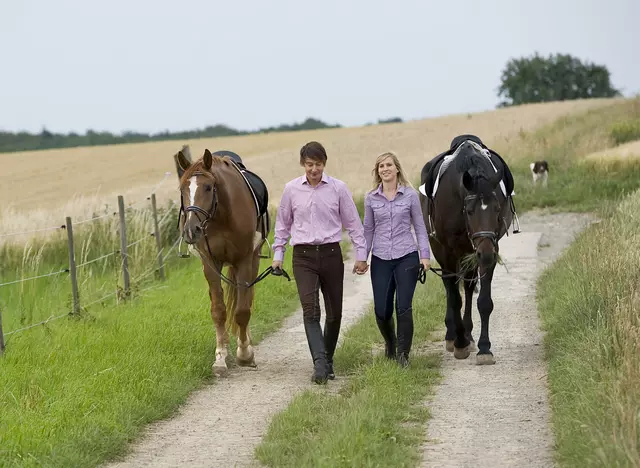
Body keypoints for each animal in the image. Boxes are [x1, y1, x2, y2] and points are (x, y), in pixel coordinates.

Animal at [176, 150, 272, 376]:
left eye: (208, 187)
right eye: (183, 188)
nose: (191, 230)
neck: (222, 215)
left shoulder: (244, 259)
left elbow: (242, 310)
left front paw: (245, 354)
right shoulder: (211, 263)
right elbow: (219, 310)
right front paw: (220, 356)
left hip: (252, 260)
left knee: (246, 299)